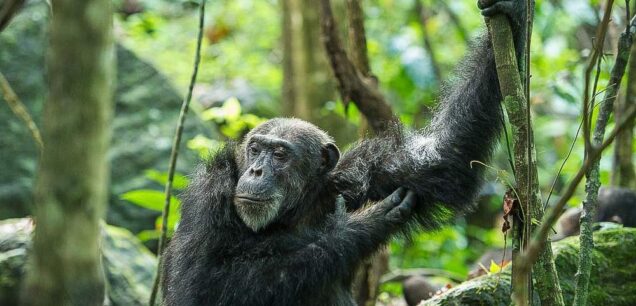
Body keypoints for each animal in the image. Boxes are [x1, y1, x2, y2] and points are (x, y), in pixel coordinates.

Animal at [160, 1, 528, 304]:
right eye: (254, 149)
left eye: (279, 155)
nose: (256, 170)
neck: (293, 211)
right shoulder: (208, 197)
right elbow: (202, 284)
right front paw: (361, 226)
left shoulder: (361, 173)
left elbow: (444, 158)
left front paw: (512, 13)